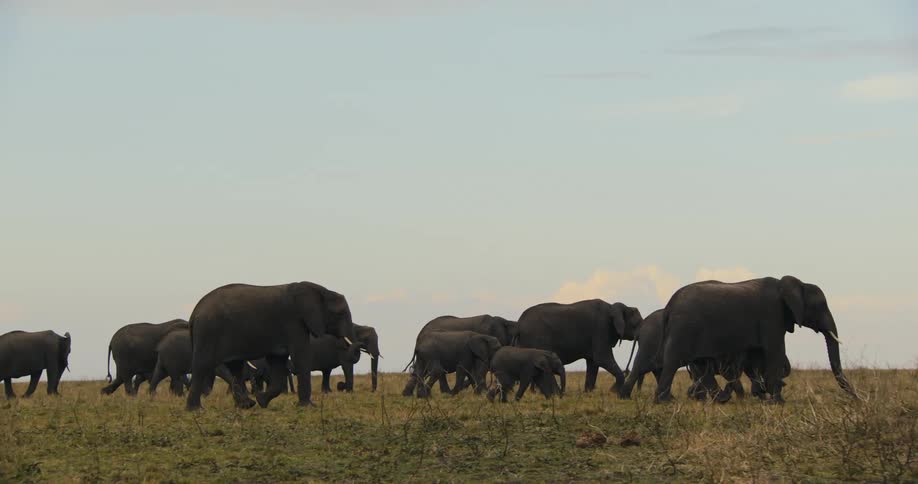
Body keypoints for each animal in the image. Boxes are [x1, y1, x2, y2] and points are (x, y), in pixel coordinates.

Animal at [185, 281, 358, 410]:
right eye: (340, 314)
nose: (342, 386)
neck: (321, 291)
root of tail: (194, 313)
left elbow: (278, 361)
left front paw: (261, 400)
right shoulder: (293, 322)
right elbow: (300, 356)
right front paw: (309, 407)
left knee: (235, 367)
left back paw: (246, 405)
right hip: (209, 331)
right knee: (202, 365)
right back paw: (196, 410)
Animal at [653, 276, 855, 403]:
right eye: (820, 306)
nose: (856, 398)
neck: (794, 284)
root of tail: (669, 305)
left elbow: (758, 356)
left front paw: (765, 396)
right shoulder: (772, 315)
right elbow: (775, 350)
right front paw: (777, 402)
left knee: (701, 366)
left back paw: (722, 400)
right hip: (684, 329)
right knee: (673, 363)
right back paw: (664, 402)